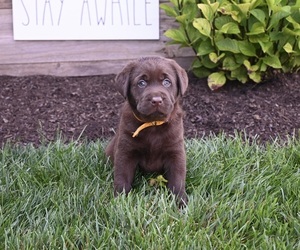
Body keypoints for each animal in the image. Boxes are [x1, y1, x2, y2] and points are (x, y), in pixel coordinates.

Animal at [106, 56, 188, 207]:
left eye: (167, 82)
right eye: (142, 83)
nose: (156, 100)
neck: (153, 125)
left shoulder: (175, 151)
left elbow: (177, 179)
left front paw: (180, 203)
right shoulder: (125, 150)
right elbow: (122, 176)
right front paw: (120, 202)